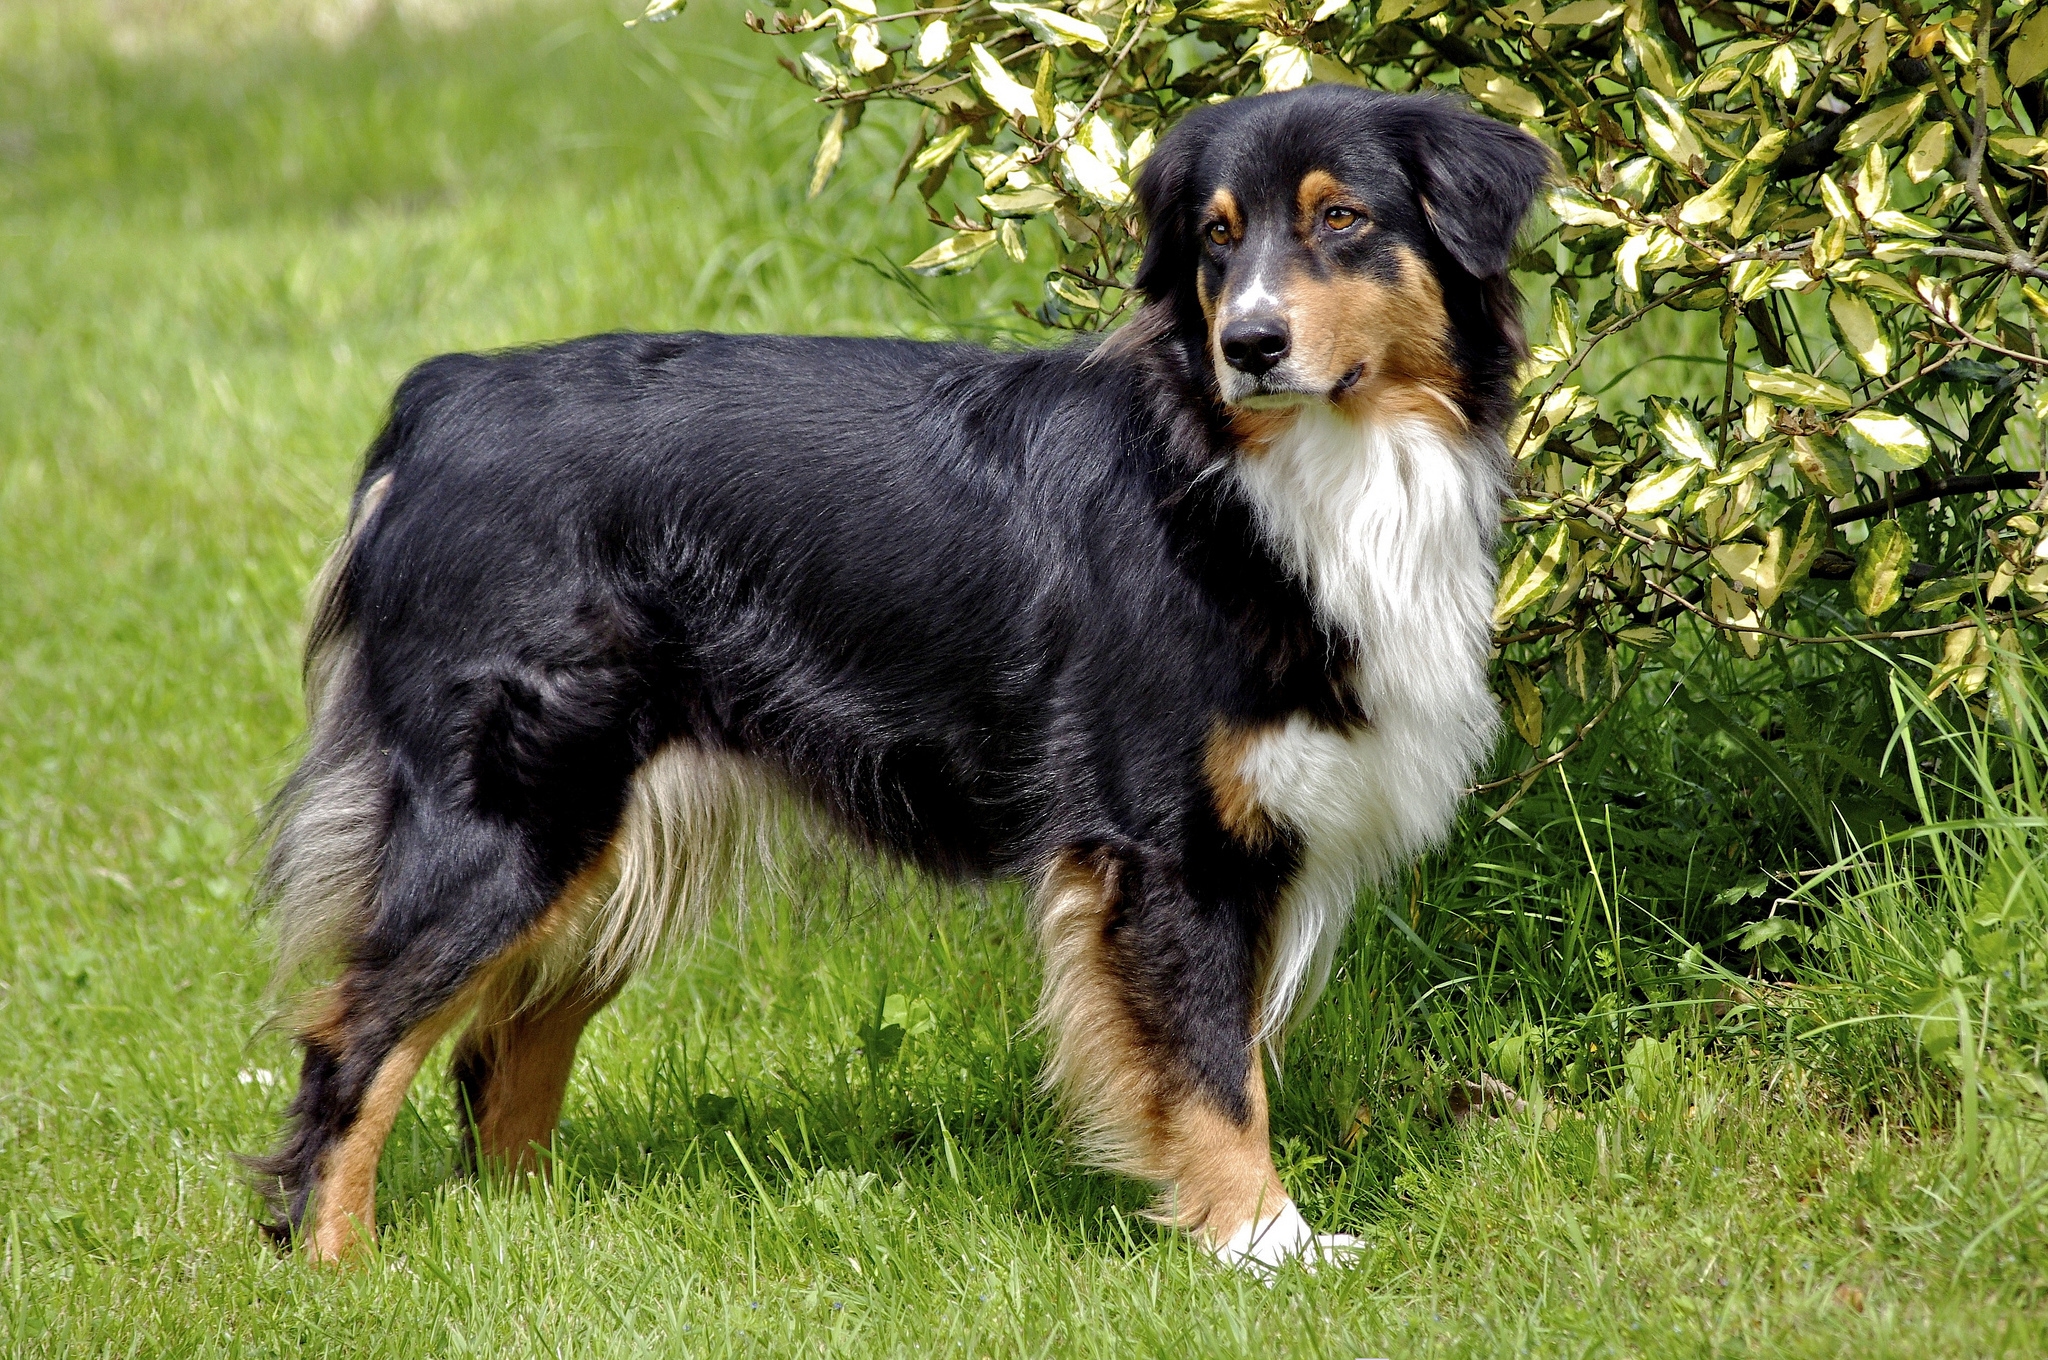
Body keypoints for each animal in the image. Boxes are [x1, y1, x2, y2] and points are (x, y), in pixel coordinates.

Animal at [251, 87, 1540, 1278]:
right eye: (1216, 238)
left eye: (1342, 218)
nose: (1250, 345)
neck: (1273, 469)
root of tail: (439, 401)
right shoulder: (1161, 844)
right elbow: (1210, 1068)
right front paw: (1263, 1247)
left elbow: (1218, 1054)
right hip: (515, 811)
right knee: (356, 1037)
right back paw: (337, 1263)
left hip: (609, 834)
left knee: (502, 1042)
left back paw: (531, 1241)